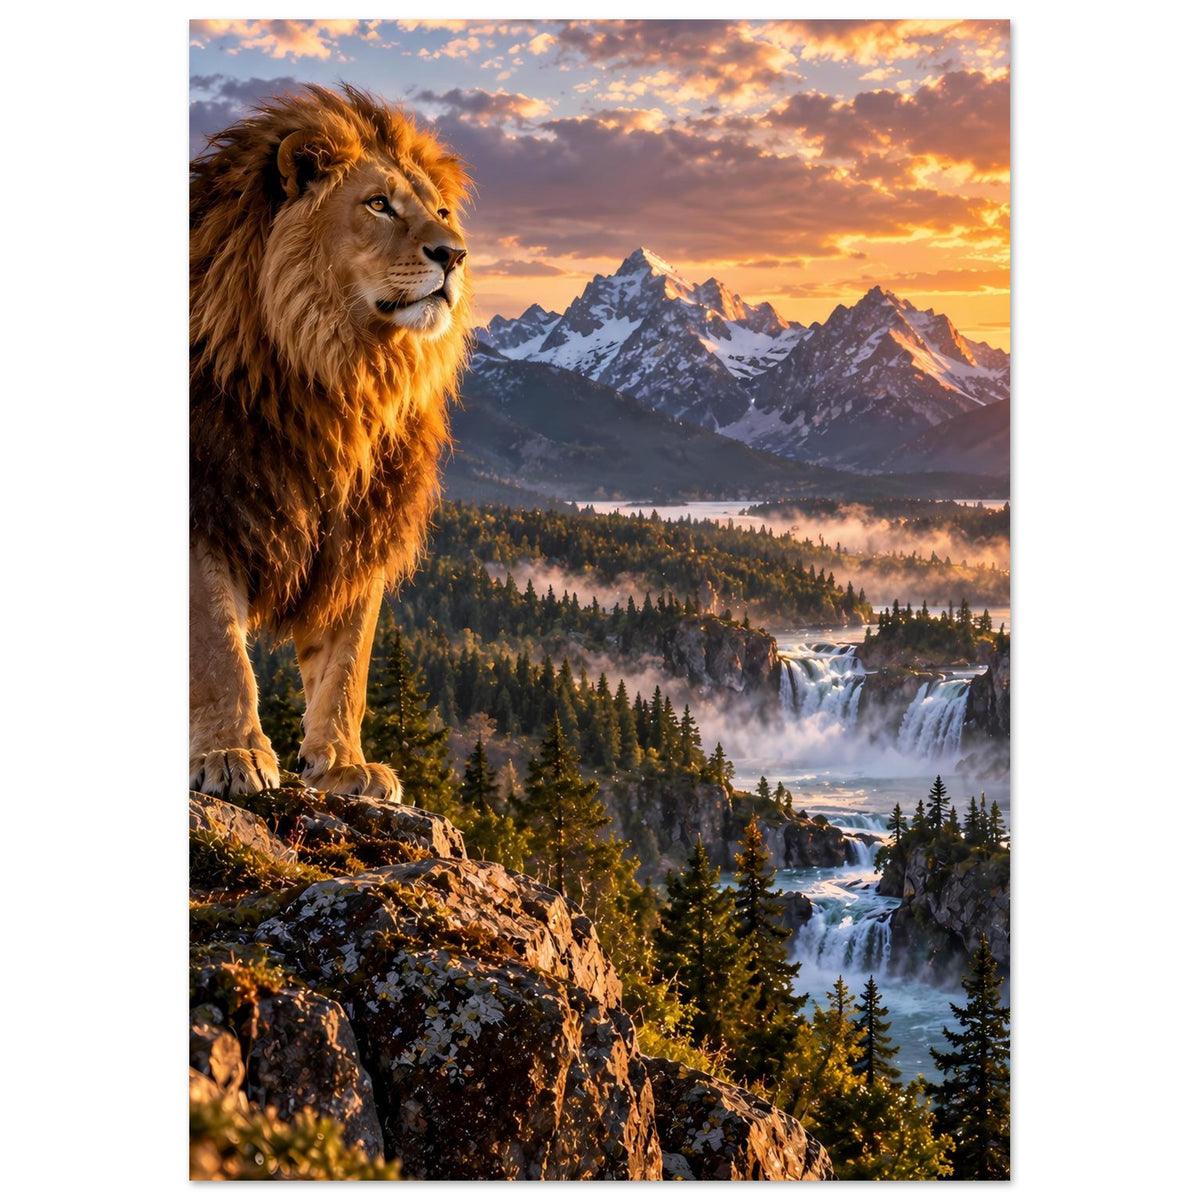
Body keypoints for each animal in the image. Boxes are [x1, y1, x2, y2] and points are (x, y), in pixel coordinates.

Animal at [190, 85, 472, 802]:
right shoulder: (208, 505)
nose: (454, 255)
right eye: (377, 204)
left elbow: (347, 665)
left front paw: (343, 764)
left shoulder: (358, 530)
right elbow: (217, 649)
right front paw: (232, 752)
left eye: (441, 212)